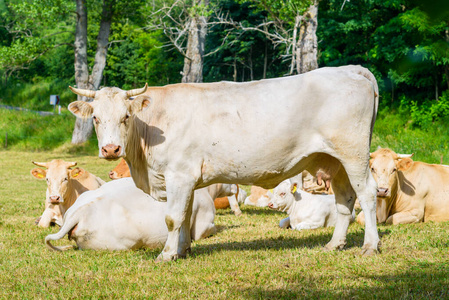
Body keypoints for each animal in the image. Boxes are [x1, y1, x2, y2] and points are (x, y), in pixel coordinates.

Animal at [68, 65, 380, 260]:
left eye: (126, 117)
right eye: (95, 118)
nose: (111, 149)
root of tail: (349, 69)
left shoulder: (178, 175)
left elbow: (172, 217)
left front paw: (167, 254)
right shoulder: (187, 180)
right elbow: (185, 216)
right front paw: (182, 251)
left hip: (353, 153)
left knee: (367, 194)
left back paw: (370, 246)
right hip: (333, 161)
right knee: (345, 199)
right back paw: (334, 244)